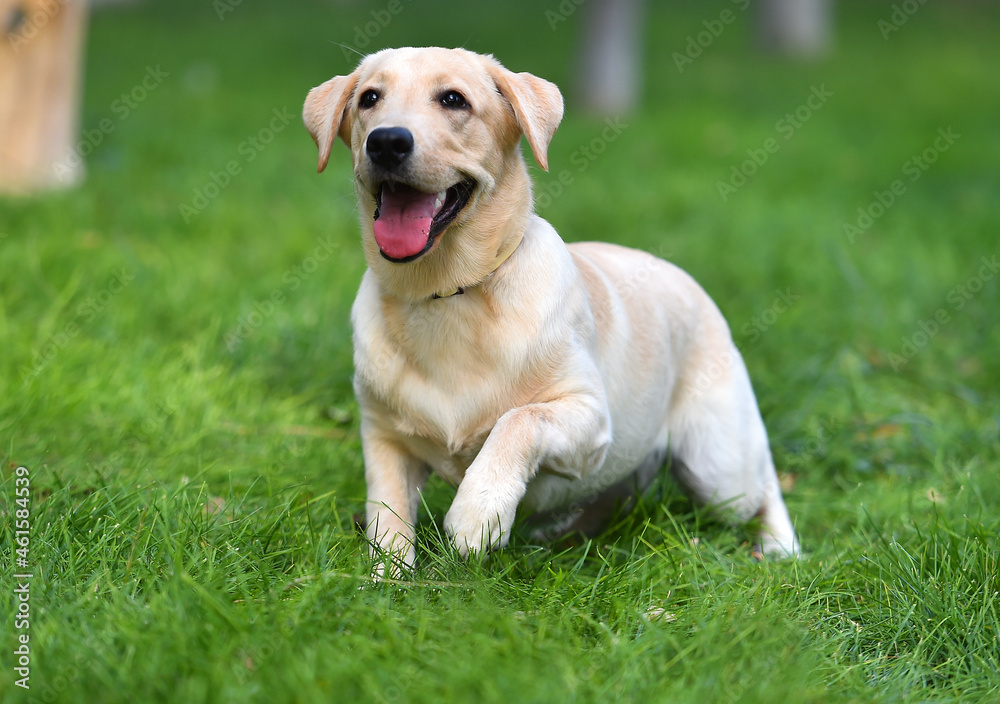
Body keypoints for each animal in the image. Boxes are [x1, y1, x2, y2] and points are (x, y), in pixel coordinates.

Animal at [300, 46, 800, 568]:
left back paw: (780, 546)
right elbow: (388, 524)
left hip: (718, 466)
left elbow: (518, 420)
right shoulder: (385, 439)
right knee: (614, 497)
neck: (448, 292)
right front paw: (383, 580)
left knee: (764, 485)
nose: (386, 142)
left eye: (454, 99)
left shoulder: (589, 416)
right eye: (369, 98)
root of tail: (684, 277)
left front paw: (477, 515)